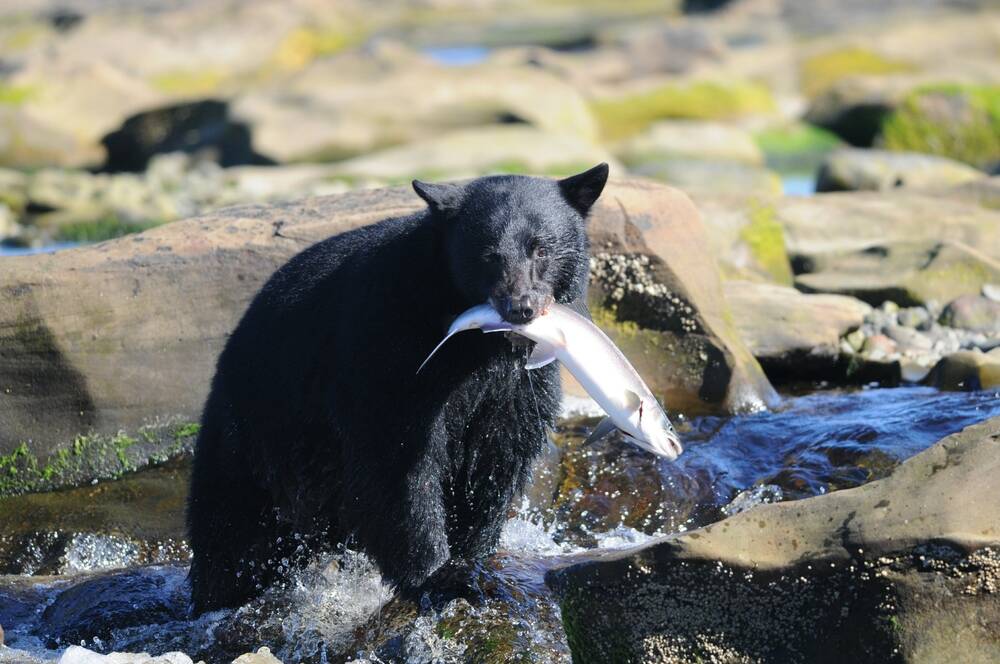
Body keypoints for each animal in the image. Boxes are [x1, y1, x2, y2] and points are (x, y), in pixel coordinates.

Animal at [186, 163, 609, 614]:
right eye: (488, 255)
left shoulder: (517, 385)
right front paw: (440, 577)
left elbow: (497, 458)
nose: (520, 307)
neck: (478, 344)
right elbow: (397, 461)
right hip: (256, 435)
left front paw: (474, 558)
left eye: (540, 249)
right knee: (233, 534)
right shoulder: (388, 347)